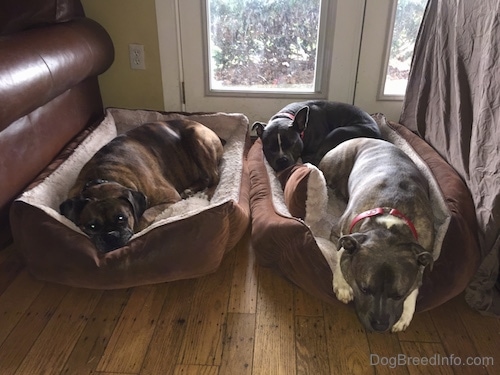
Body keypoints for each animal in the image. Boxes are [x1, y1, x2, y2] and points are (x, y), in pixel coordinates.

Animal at [320, 138, 434, 332]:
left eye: (399, 295)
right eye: (364, 289)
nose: (380, 325)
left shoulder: (424, 250)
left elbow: (417, 282)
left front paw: (406, 313)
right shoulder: (339, 233)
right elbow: (340, 254)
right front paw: (342, 285)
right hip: (334, 165)